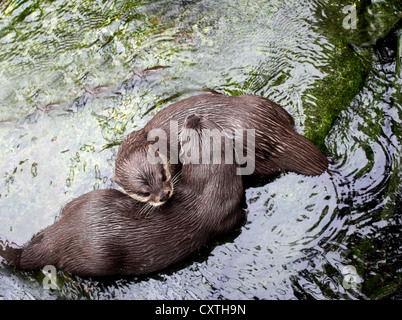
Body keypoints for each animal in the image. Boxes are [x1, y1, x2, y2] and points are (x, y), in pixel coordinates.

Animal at [0, 115, 243, 278]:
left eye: (204, 121)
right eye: (185, 135)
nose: (192, 117)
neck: (211, 187)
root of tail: (61, 234)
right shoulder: (229, 215)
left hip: (91, 199)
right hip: (97, 259)